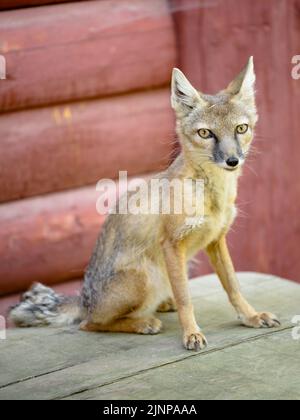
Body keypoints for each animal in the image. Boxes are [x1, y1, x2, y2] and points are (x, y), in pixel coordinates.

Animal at [9, 56, 282, 352]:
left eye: (241, 129)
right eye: (205, 133)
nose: (232, 160)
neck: (211, 196)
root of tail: (83, 299)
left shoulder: (216, 240)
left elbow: (233, 286)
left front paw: (251, 316)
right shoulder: (172, 245)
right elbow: (186, 298)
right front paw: (191, 333)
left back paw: (162, 305)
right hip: (146, 278)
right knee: (90, 324)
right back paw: (144, 323)